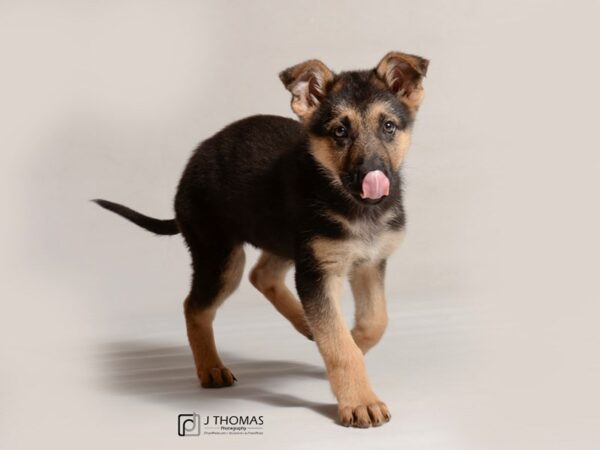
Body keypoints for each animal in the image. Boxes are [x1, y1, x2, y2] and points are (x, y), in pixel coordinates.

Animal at [95, 51, 426, 428]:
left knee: (261, 275)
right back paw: (211, 368)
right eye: (340, 131)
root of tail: (195, 160)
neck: (354, 207)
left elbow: (374, 322)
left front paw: (353, 341)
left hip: (282, 236)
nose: (373, 176)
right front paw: (359, 400)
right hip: (221, 257)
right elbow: (339, 344)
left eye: (389, 127)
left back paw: (303, 323)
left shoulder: (369, 263)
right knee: (195, 306)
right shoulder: (318, 273)